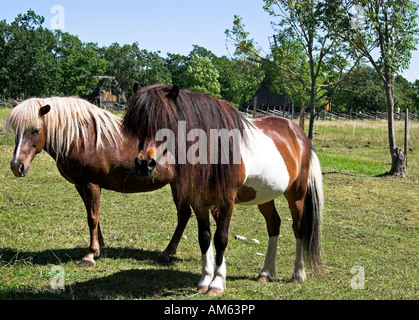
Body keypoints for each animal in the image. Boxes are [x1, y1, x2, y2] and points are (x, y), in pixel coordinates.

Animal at [121, 84, 324, 296]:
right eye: (136, 124)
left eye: (166, 123)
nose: (144, 164)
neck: (214, 150)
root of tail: (298, 133)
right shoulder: (198, 200)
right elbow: (204, 238)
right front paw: (204, 280)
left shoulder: (227, 199)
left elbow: (221, 239)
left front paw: (217, 284)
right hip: (264, 195)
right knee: (274, 224)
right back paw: (266, 272)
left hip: (296, 194)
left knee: (298, 228)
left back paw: (298, 274)